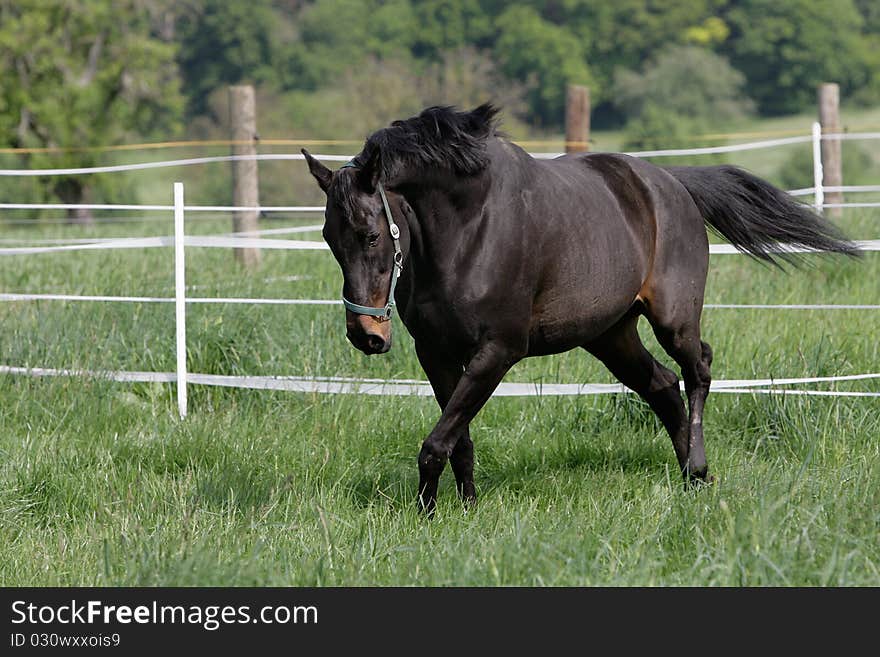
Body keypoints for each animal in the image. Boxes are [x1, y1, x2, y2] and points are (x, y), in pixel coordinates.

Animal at [304, 104, 860, 512]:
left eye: (370, 234)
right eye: (329, 237)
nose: (366, 334)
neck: (468, 229)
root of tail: (672, 184)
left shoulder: (497, 352)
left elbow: (437, 441)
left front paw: (428, 514)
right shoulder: (435, 353)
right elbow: (456, 438)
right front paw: (462, 509)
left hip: (673, 318)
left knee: (697, 368)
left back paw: (699, 467)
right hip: (610, 334)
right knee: (662, 386)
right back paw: (691, 479)